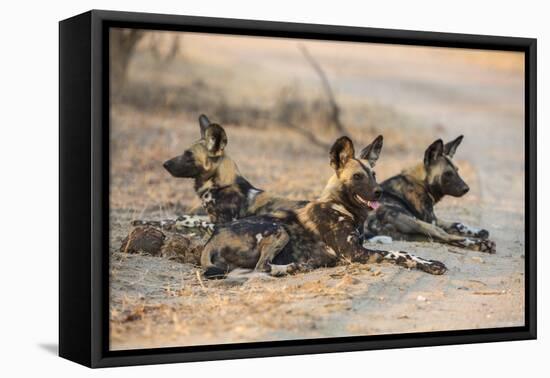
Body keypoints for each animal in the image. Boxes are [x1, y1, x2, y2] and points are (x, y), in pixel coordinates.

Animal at [202, 136, 448, 278]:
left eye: (374, 174)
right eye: (357, 176)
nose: (379, 191)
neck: (342, 208)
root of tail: (213, 238)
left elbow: (404, 252)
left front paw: (431, 263)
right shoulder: (354, 254)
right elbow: (399, 253)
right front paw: (429, 264)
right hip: (278, 229)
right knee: (262, 267)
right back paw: (293, 267)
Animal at [364, 136, 498, 254]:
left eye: (457, 170)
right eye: (448, 174)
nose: (466, 189)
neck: (422, 183)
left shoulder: (435, 221)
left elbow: (459, 224)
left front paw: (479, 231)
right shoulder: (432, 222)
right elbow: (455, 228)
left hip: (416, 234)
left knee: (446, 238)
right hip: (420, 224)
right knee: (449, 236)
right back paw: (482, 244)